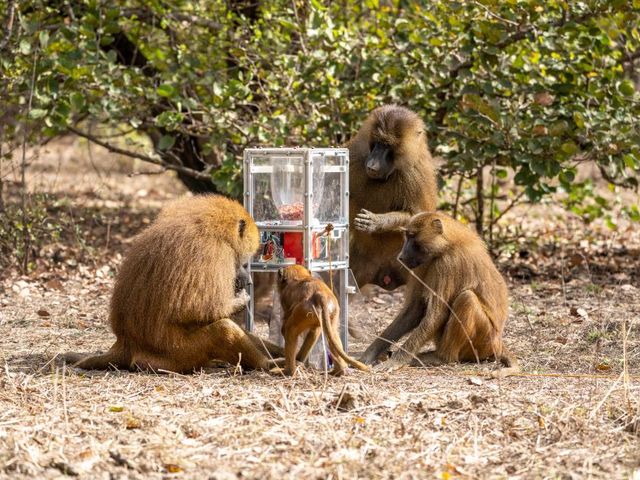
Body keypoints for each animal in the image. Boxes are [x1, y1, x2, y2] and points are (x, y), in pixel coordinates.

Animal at [64, 195, 285, 374]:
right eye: (244, 262)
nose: (248, 281)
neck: (210, 227)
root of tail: (127, 343)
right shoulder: (214, 254)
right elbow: (199, 309)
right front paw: (241, 300)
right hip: (180, 354)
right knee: (223, 330)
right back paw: (267, 364)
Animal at [347, 105, 438, 291]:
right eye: (377, 143)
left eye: (388, 145)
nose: (372, 165)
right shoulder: (355, 156)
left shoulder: (415, 174)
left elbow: (417, 216)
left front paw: (375, 221)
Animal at [359, 212, 518, 377]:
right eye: (406, 236)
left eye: (412, 237)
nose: (401, 257)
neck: (447, 245)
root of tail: (498, 343)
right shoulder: (423, 263)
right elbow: (414, 310)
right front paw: (370, 354)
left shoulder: (446, 264)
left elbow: (436, 315)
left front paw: (395, 361)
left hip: (484, 342)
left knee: (467, 298)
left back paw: (441, 358)